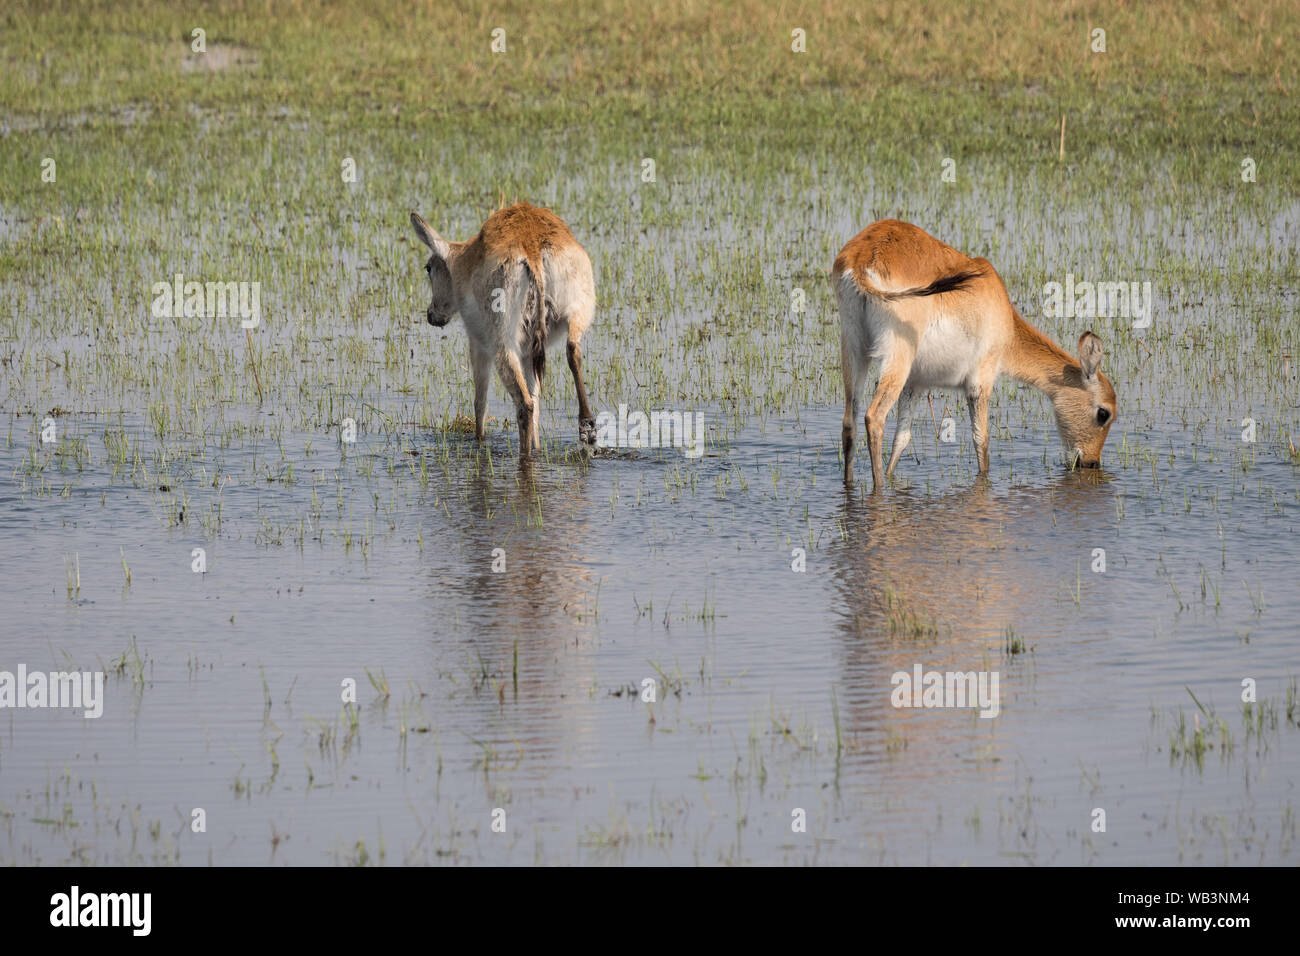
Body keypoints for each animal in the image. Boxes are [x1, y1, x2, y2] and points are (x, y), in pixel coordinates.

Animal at [408, 201, 595, 455]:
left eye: (428, 268)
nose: (431, 315)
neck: (464, 261)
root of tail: (532, 247)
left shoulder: (477, 342)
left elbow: (480, 401)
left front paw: (479, 440)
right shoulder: (527, 352)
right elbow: (536, 399)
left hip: (502, 342)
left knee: (524, 404)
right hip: (576, 313)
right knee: (571, 351)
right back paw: (587, 426)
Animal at [832, 221, 1118, 489]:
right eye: (1104, 413)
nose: (1091, 462)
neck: (1006, 321)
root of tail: (863, 257)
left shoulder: (917, 383)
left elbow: (902, 439)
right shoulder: (980, 382)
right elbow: (981, 440)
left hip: (854, 350)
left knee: (849, 422)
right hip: (896, 358)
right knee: (874, 417)